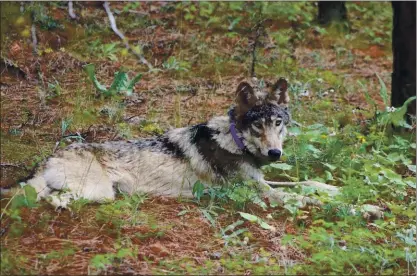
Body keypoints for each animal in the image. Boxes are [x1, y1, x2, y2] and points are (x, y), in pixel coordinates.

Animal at [27, 77, 382, 218]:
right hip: (98, 192)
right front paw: (365, 208)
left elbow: (309, 183)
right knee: (45, 198)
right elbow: (309, 199)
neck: (235, 142)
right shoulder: (263, 194)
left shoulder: (262, 182)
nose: (275, 154)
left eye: (278, 123)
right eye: (258, 125)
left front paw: (344, 191)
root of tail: (47, 159)